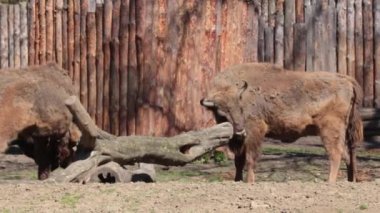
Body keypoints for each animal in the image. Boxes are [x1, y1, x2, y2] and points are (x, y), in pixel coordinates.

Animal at [200, 62, 364, 183]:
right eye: (222, 114)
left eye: (240, 108)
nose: (240, 130)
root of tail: (346, 79)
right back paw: (350, 180)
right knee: (348, 155)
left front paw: (249, 181)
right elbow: (238, 162)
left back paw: (330, 182)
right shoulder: (241, 141)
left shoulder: (255, 133)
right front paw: (237, 180)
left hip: (329, 130)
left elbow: (250, 159)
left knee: (336, 154)